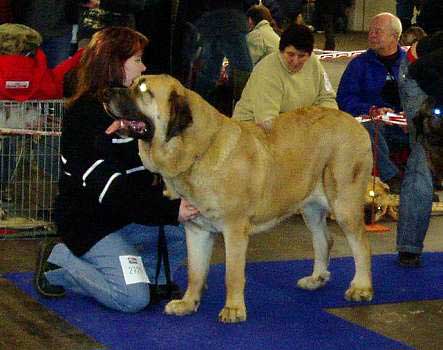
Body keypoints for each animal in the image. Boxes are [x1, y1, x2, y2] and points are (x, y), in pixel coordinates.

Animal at [104, 74, 374, 322]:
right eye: (132, 84)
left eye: (143, 90)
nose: (106, 91)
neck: (198, 150)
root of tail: (355, 122)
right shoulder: (196, 229)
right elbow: (195, 271)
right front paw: (188, 303)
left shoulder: (234, 229)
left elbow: (232, 274)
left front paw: (233, 309)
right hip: (310, 207)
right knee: (324, 239)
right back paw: (316, 279)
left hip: (344, 202)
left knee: (361, 244)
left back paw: (361, 287)